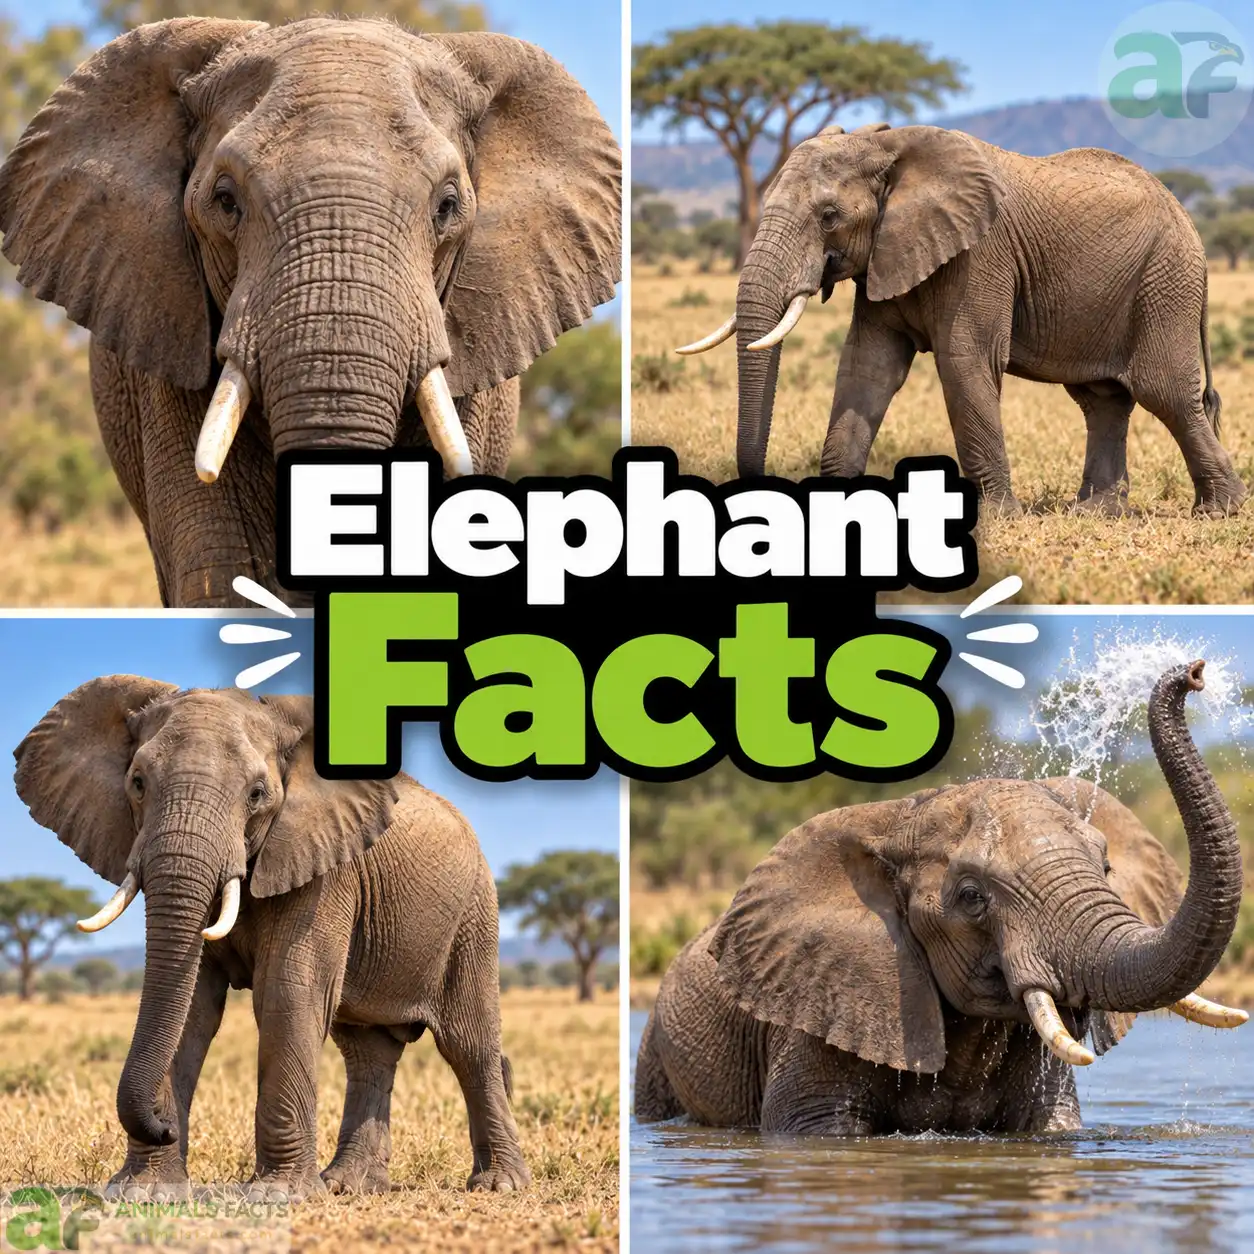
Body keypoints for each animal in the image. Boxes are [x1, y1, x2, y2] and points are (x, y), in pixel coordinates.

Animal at [13, 675, 528, 1199]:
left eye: (257, 794)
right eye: (137, 783)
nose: (163, 1126)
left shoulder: (325, 866)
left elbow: (287, 990)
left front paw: (279, 1195)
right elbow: (192, 1006)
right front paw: (147, 1192)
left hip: (473, 914)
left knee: (469, 1045)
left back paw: (498, 1185)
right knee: (367, 1051)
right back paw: (347, 1186)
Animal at [636, 661, 1248, 1136]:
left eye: (1106, 868)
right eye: (972, 896)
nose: (1194, 674)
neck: (895, 819)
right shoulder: (823, 1005)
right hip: (653, 1055)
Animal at [677, 123, 1245, 519]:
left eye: (829, 216)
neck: (884, 144)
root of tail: (1187, 215)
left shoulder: (980, 255)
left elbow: (965, 363)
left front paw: (995, 517)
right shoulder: (887, 255)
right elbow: (867, 370)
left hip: (1165, 280)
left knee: (1164, 392)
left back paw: (1220, 511)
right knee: (1102, 399)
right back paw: (1094, 513)